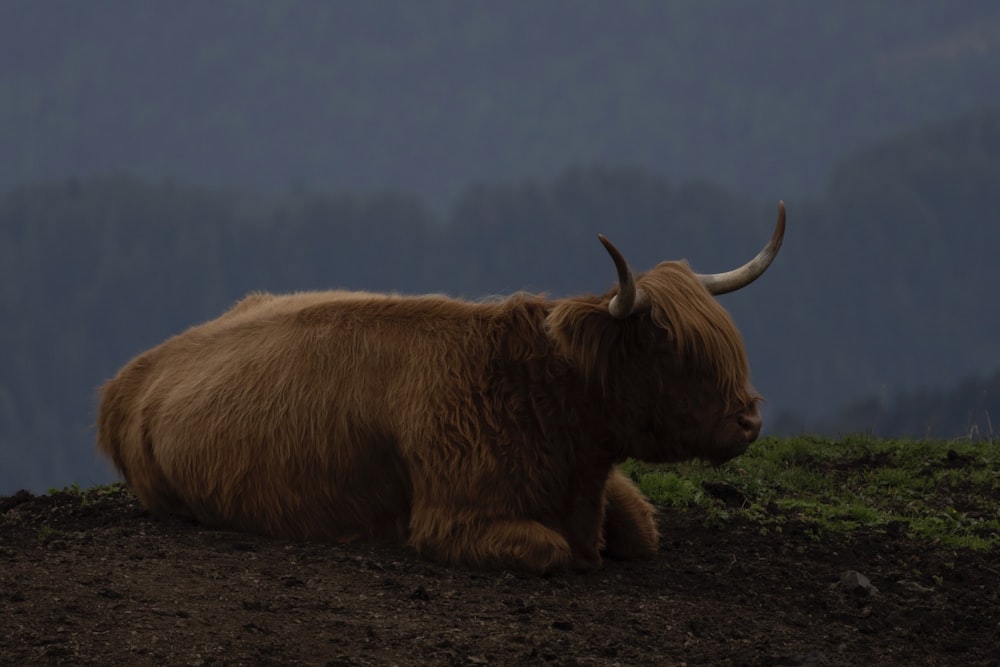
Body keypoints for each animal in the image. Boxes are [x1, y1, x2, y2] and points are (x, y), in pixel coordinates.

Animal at [97, 204, 784, 576]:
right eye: (671, 349)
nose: (749, 421)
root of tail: (128, 378)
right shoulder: (453, 520)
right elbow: (551, 551)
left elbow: (642, 529)